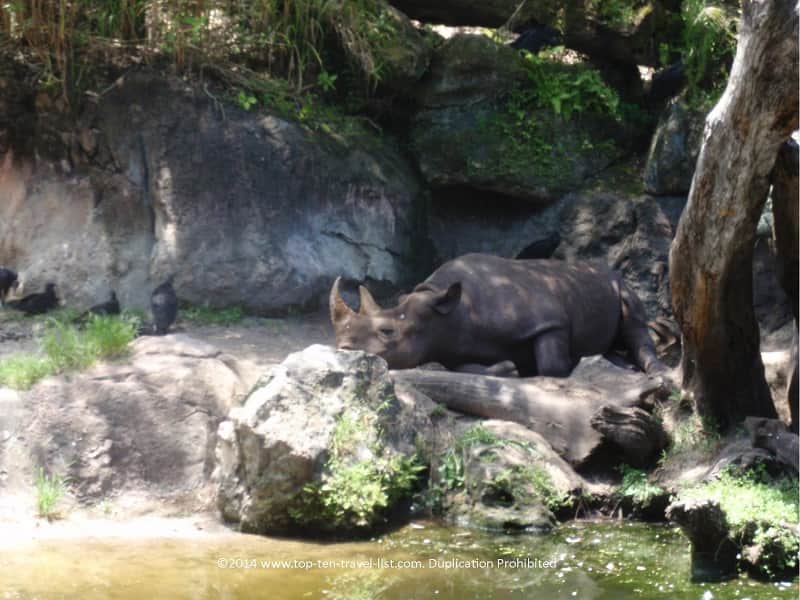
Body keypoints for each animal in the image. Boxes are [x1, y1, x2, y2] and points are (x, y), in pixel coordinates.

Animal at [329, 253, 664, 377]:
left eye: (387, 332)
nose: (342, 349)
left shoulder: (549, 321)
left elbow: (552, 365)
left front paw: (563, 365)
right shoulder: (450, 348)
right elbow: (466, 369)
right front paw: (509, 367)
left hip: (619, 282)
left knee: (634, 320)